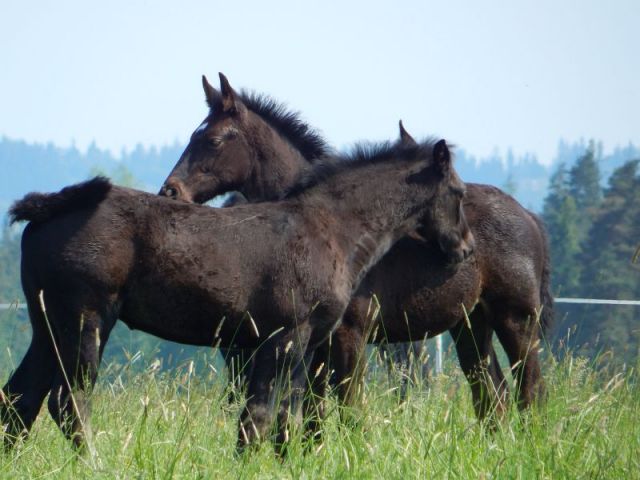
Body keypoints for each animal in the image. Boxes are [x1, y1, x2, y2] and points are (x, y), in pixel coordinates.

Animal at [1, 137, 470, 452]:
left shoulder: (299, 344)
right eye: (459, 192)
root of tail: (46, 211)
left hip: (48, 327)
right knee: (68, 403)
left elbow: (284, 416)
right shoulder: (285, 337)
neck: (331, 228)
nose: (465, 247)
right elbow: (259, 417)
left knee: (19, 400)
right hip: (87, 320)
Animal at [161, 75, 556, 432]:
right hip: (471, 324)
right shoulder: (315, 342)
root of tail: (529, 217)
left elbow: (347, 407)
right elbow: (313, 412)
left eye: (212, 140)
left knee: (530, 391)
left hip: (517, 318)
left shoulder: (348, 333)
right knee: (492, 396)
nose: (171, 191)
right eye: (192, 136)